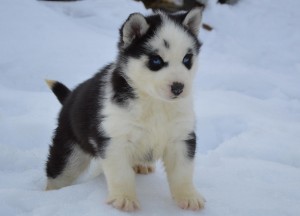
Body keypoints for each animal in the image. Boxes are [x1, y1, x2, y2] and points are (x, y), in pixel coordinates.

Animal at [45, 8, 205, 211]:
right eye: (156, 61)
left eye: (187, 59)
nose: (178, 88)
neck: (155, 103)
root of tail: (69, 97)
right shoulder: (114, 140)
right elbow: (121, 173)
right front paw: (124, 198)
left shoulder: (181, 138)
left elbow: (183, 172)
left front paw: (189, 196)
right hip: (69, 152)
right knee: (57, 174)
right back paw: (48, 195)